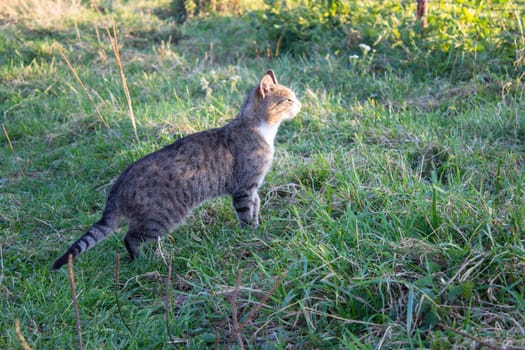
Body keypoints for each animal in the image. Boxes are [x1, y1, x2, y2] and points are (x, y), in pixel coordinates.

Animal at [52, 69, 300, 270]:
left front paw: (257, 228)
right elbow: (246, 212)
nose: (301, 104)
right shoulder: (244, 187)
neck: (262, 130)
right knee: (130, 238)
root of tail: (118, 185)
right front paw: (248, 235)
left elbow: (256, 207)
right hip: (161, 217)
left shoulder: (253, 187)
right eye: (289, 99)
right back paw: (145, 262)